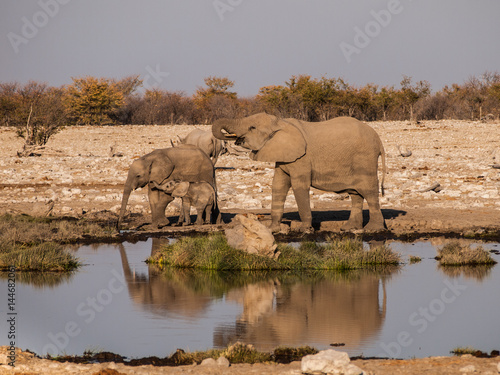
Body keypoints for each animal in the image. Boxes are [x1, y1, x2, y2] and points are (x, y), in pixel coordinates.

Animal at [211, 113, 386, 234]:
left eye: (252, 128)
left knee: (369, 192)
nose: (232, 138)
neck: (281, 122)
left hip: (365, 159)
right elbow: (278, 186)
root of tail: (379, 141)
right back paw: (348, 228)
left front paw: (304, 230)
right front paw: (273, 229)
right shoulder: (283, 156)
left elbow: (299, 186)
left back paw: (373, 229)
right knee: (356, 194)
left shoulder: (302, 158)